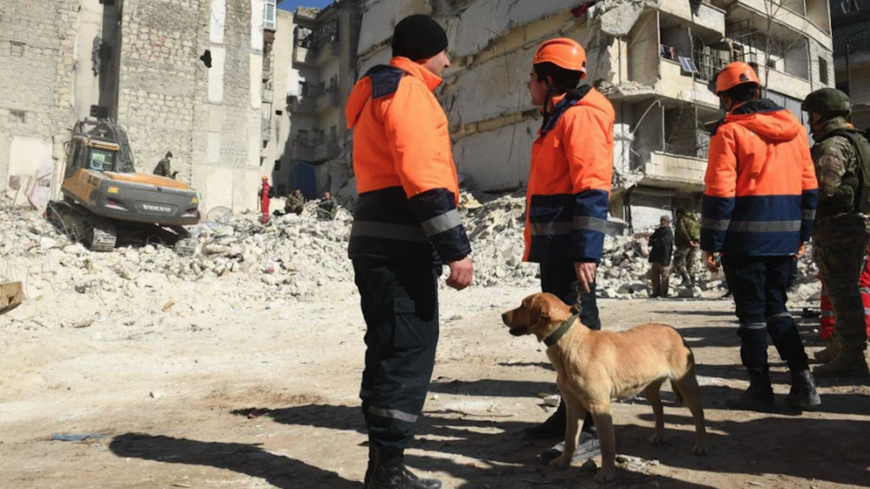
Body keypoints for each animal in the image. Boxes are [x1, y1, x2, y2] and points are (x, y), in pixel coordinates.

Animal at [504, 292, 708, 482]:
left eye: (523, 305)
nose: (502, 315)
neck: (569, 343)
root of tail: (674, 331)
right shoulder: (573, 405)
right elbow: (570, 438)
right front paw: (563, 461)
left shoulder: (599, 406)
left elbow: (607, 445)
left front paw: (607, 473)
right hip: (648, 386)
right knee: (659, 408)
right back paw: (658, 436)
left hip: (686, 384)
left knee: (698, 414)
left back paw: (700, 446)